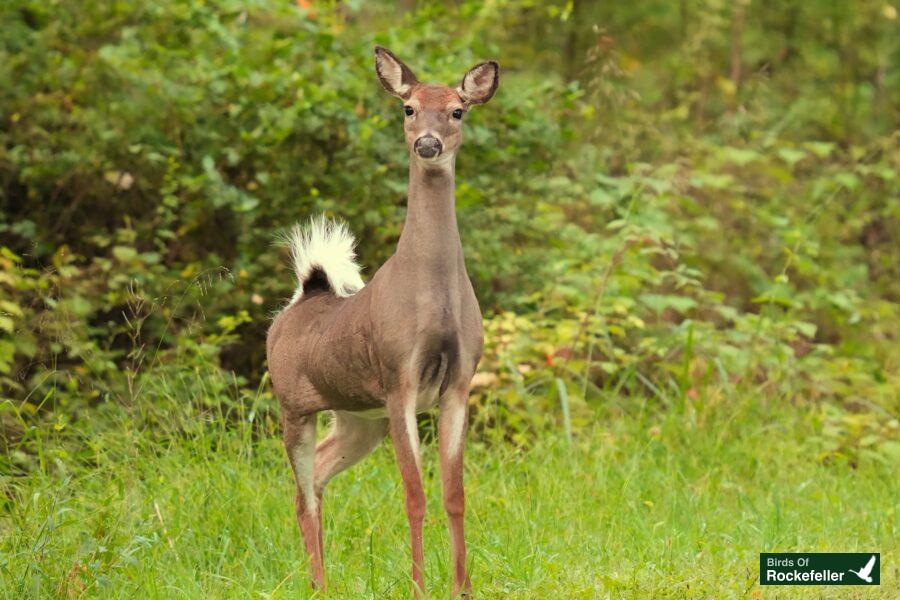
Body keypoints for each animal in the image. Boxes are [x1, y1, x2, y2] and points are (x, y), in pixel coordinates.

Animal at [264, 44, 502, 596]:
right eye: (408, 108)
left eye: (458, 110)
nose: (428, 144)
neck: (432, 295)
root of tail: (301, 298)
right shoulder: (399, 381)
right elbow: (414, 496)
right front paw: (418, 586)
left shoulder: (459, 384)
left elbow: (455, 494)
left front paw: (462, 586)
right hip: (293, 405)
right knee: (302, 494)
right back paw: (319, 585)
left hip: (357, 416)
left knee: (319, 475)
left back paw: (321, 579)